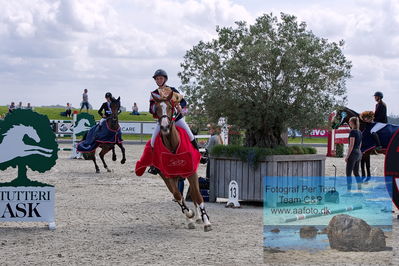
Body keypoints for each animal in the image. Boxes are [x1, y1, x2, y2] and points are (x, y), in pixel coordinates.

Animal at [152, 91, 212, 231]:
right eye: (156, 109)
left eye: (170, 107)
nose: (164, 127)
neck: (172, 145)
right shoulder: (168, 177)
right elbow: (178, 196)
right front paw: (189, 215)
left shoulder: (192, 173)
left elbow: (197, 196)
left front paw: (206, 221)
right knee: (179, 196)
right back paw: (190, 219)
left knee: (194, 195)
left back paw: (199, 218)